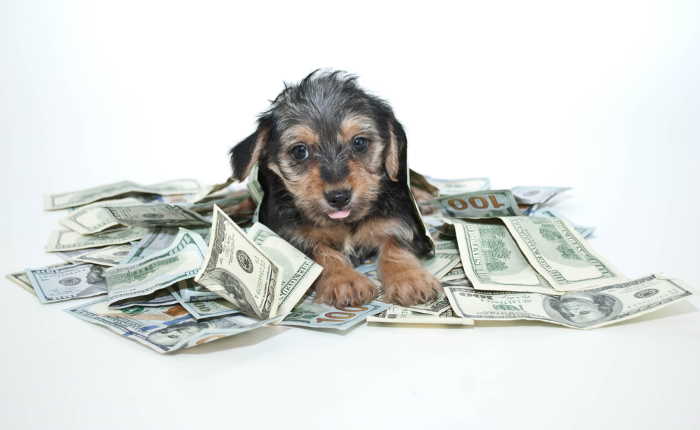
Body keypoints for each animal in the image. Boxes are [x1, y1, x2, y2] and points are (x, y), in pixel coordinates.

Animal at [230, 70, 438, 308]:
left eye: (359, 142)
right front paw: (345, 280)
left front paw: (409, 278)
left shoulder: (398, 221)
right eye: (299, 151)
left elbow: (396, 245)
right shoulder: (292, 236)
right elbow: (322, 253)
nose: (339, 197)